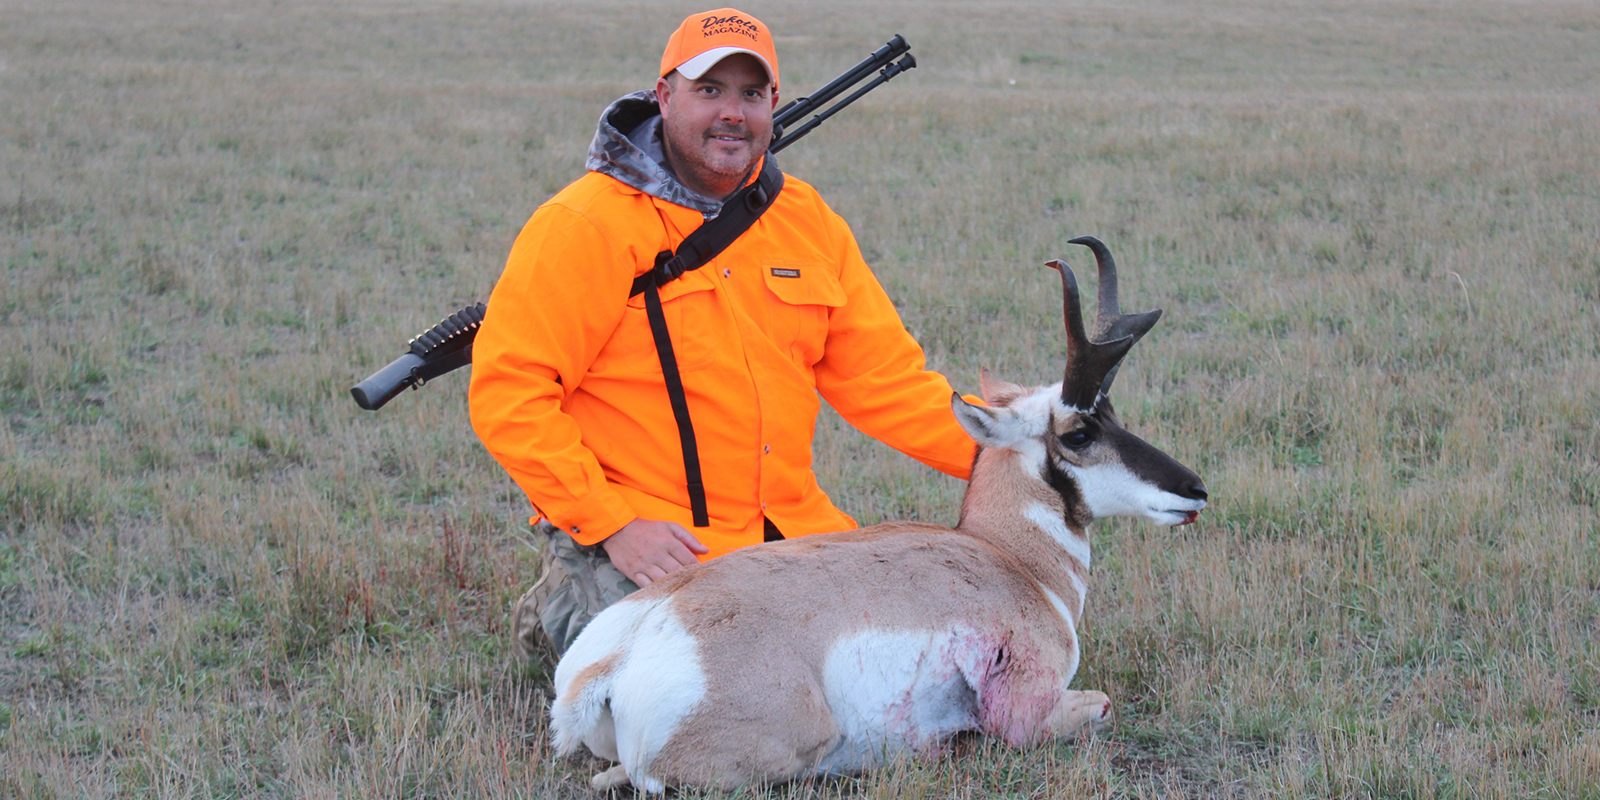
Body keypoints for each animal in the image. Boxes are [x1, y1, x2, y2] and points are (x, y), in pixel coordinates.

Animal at [547, 233, 1203, 790]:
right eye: (1079, 433)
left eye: (1114, 414)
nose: (1194, 489)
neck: (1012, 561)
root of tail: (616, 658)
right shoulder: (1028, 707)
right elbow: (1100, 705)